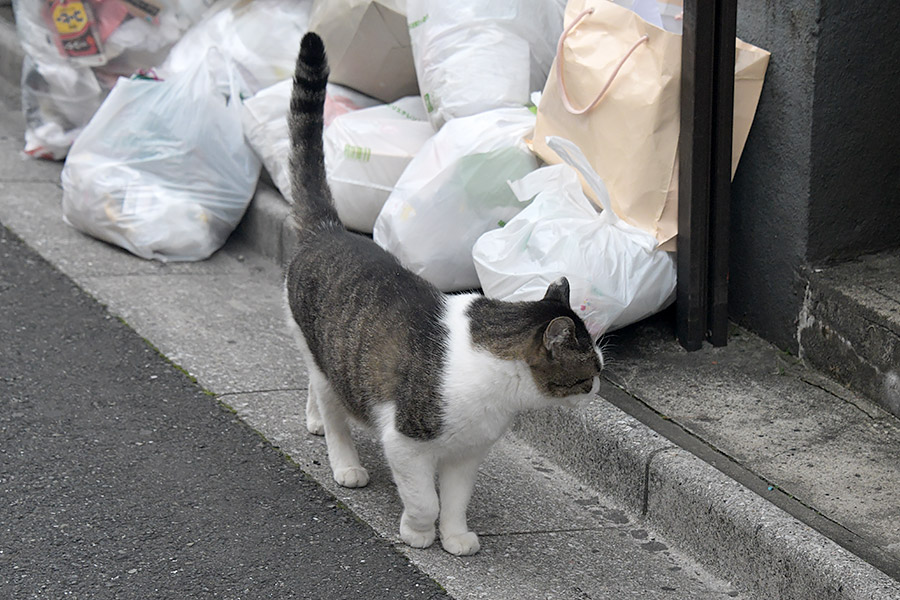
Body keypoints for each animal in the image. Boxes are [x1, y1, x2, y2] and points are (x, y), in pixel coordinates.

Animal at [284, 31, 600, 556]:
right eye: (590, 370)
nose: (598, 387)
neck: (500, 391)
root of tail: (330, 232)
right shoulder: (406, 441)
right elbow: (424, 499)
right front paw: (417, 534)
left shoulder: (466, 453)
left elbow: (454, 499)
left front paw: (455, 538)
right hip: (318, 348)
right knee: (330, 402)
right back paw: (345, 461)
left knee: (318, 384)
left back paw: (315, 421)